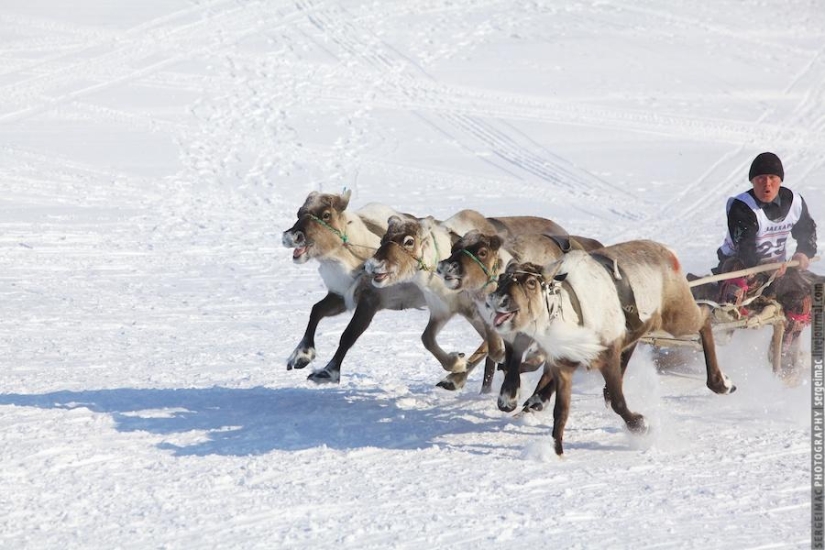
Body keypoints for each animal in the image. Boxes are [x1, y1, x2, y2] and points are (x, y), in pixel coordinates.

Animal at [485, 240, 736, 455]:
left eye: (530, 283)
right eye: (502, 278)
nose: (495, 299)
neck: (567, 315)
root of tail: (667, 251)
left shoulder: (607, 356)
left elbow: (618, 401)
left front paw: (640, 424)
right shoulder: (563, 367)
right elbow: (561, 413)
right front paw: (556, 451)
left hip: (677, 316)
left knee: (705, 316)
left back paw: (721, 382)